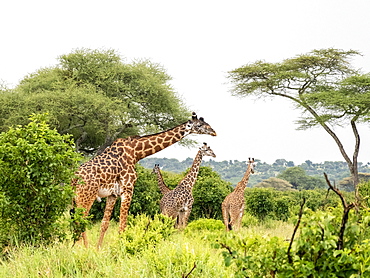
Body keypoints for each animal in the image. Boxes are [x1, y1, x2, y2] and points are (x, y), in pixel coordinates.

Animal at [72, 112, 217, 248]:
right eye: (199, 125)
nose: (214, 132)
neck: (136, 153)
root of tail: (74, 178)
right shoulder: (128, 189)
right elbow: (122, 226)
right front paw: (120, 249)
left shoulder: (113, 194)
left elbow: (104, 224)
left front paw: (98, 249)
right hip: (87, 196)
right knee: (81, 220)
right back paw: (80, 249)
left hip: (77, 198)